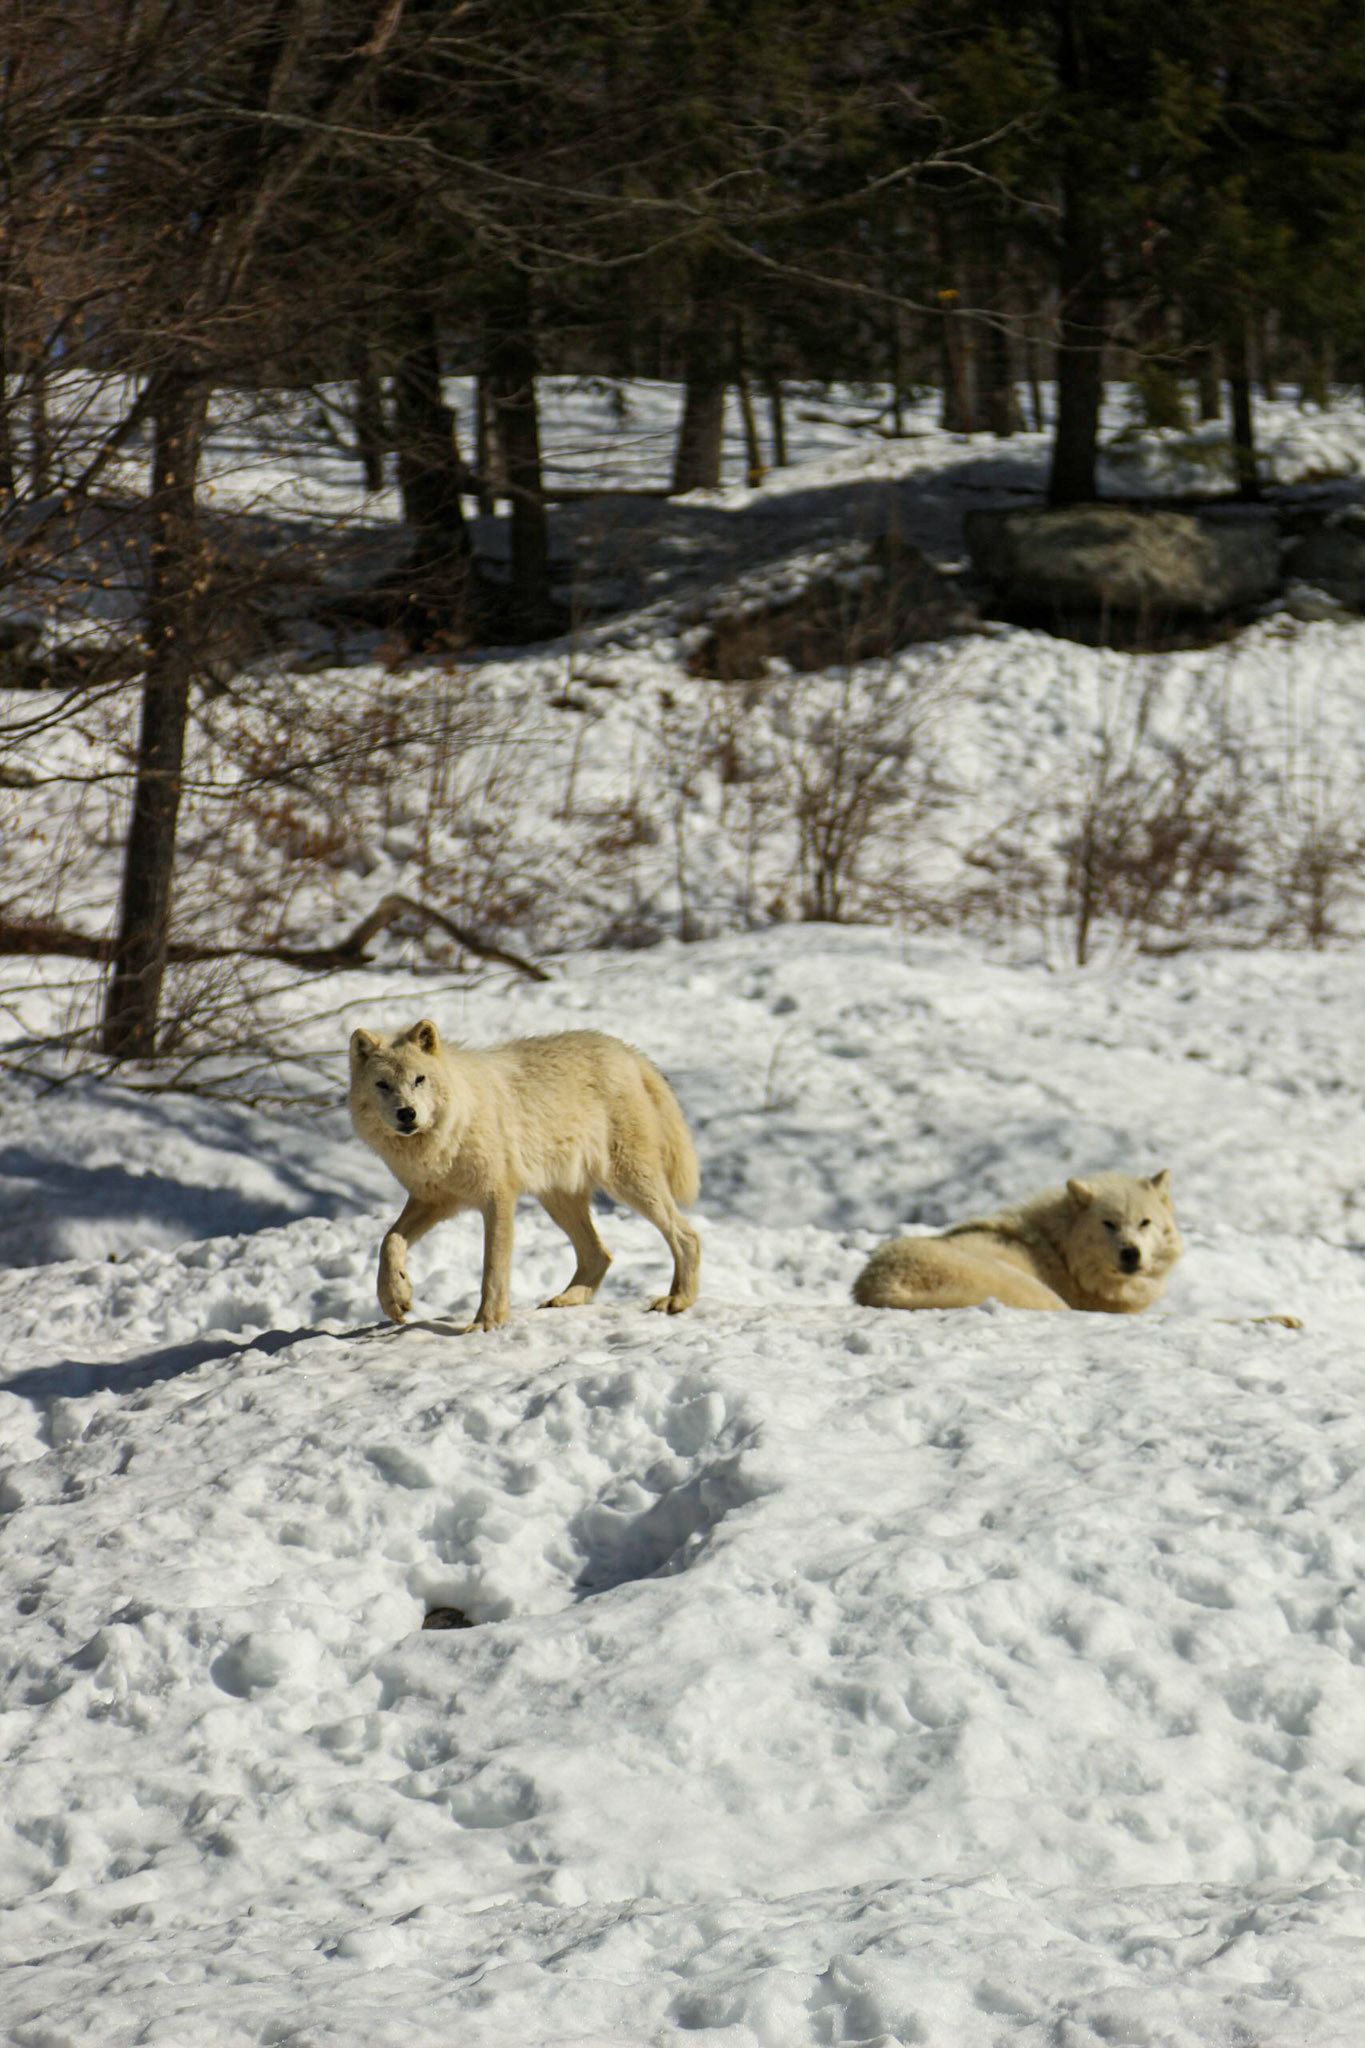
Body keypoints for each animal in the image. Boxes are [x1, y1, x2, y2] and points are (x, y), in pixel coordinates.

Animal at [349, 1020, 700, 1330]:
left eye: (419, 1079)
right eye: (383, 1085)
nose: (407, 1114)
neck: (451, 1131)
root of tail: (628, 1052)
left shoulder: (497, 1197)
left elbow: (494, 1267)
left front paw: (487, 1323)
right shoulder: (433, 1201)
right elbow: (389, 1241)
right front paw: (396, 1297)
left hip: (628, 1181)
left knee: (686, 1235)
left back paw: (678, 1300)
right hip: (558, 1199)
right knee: (600, 1254)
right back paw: (568, 1298)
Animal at [852, 1170, 1182, 1315]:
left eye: (1144, 1223)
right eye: (1108, 1224)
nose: (1131, 1253)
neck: (1063, 1252)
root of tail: (880, 1285)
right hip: (1037, 1293)